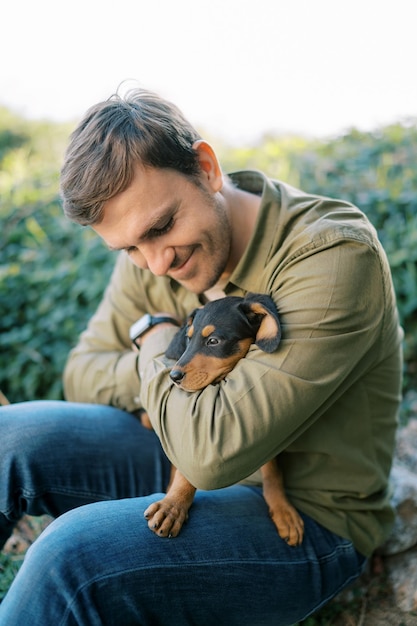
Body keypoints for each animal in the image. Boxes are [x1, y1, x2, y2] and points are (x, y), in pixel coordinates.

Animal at [145, 294, 304, 544]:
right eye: (188, 339)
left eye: (214, 341)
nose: (173, 376)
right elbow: (186, 467)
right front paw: (173, 505)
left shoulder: (267, 431)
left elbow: (272, 470)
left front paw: (283, 510)